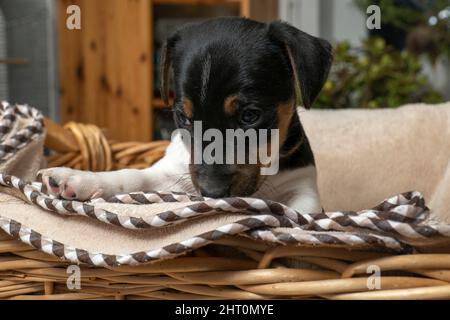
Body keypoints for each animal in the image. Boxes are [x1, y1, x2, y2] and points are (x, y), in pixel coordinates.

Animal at [38, 16, 332, 212]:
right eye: (185, 118)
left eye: (250, 116)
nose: (212, 193)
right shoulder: (170, 173)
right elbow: (134, 176)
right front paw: (78, 178)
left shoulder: (304, 188)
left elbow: (298, 214)